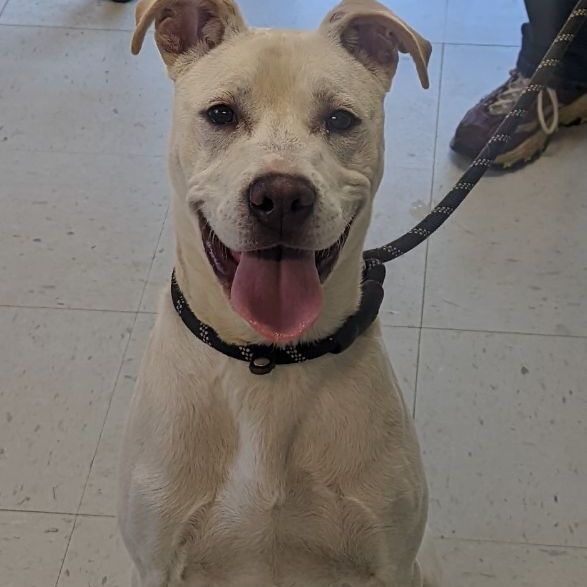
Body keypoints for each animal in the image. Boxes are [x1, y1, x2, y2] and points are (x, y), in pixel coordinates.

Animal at [118, 0, 440, 584]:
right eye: (221, 114)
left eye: (340, 119)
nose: (282, 196)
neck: (267, 360)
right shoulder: (154, 562)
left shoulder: (393, 562)